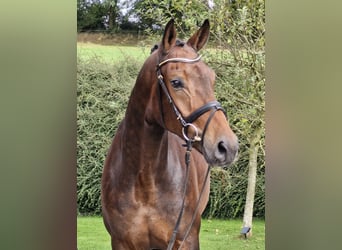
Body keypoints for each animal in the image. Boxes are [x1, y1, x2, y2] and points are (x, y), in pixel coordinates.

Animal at [101, 20, 238, 250]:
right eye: (176, 82)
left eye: (212, 79)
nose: (228, 146)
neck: (144, 182)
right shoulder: (121, 243)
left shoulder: (186, 241)